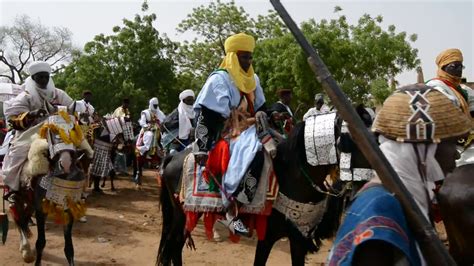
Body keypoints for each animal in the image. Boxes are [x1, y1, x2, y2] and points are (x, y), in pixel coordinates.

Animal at [2, 106, 89, 264]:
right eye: (52, 130)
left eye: (74, 128)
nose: (65, 164)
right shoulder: (40, 209)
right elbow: (41, 242)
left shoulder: (68, 208)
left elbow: (69, 248)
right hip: (18, 196)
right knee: (17, 215)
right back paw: (26, 249)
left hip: (30, 201)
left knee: (24, 218)